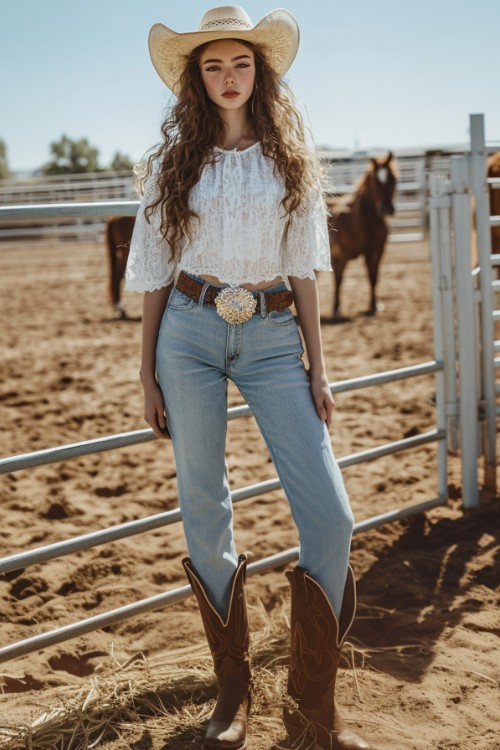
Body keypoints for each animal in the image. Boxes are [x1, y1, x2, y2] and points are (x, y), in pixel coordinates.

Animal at [326, 154, 396, 322]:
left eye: (393, 178)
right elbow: (344, 279)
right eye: (376, 181)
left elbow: (374, 278)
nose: (386, 209)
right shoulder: (352, 254)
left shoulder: (377, 252)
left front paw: (375, 305)